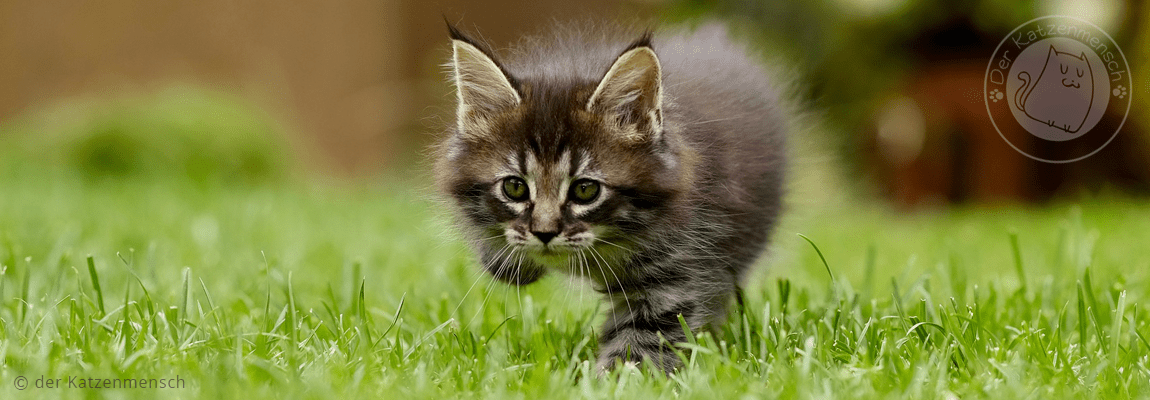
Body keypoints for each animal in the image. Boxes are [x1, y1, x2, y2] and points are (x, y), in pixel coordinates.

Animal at [434, 21, 786, 372]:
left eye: (585, 190)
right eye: (515, 187)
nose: (544, 233)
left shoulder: (677, 265)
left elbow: (642, 343)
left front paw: (610, 378)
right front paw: (509, 262)